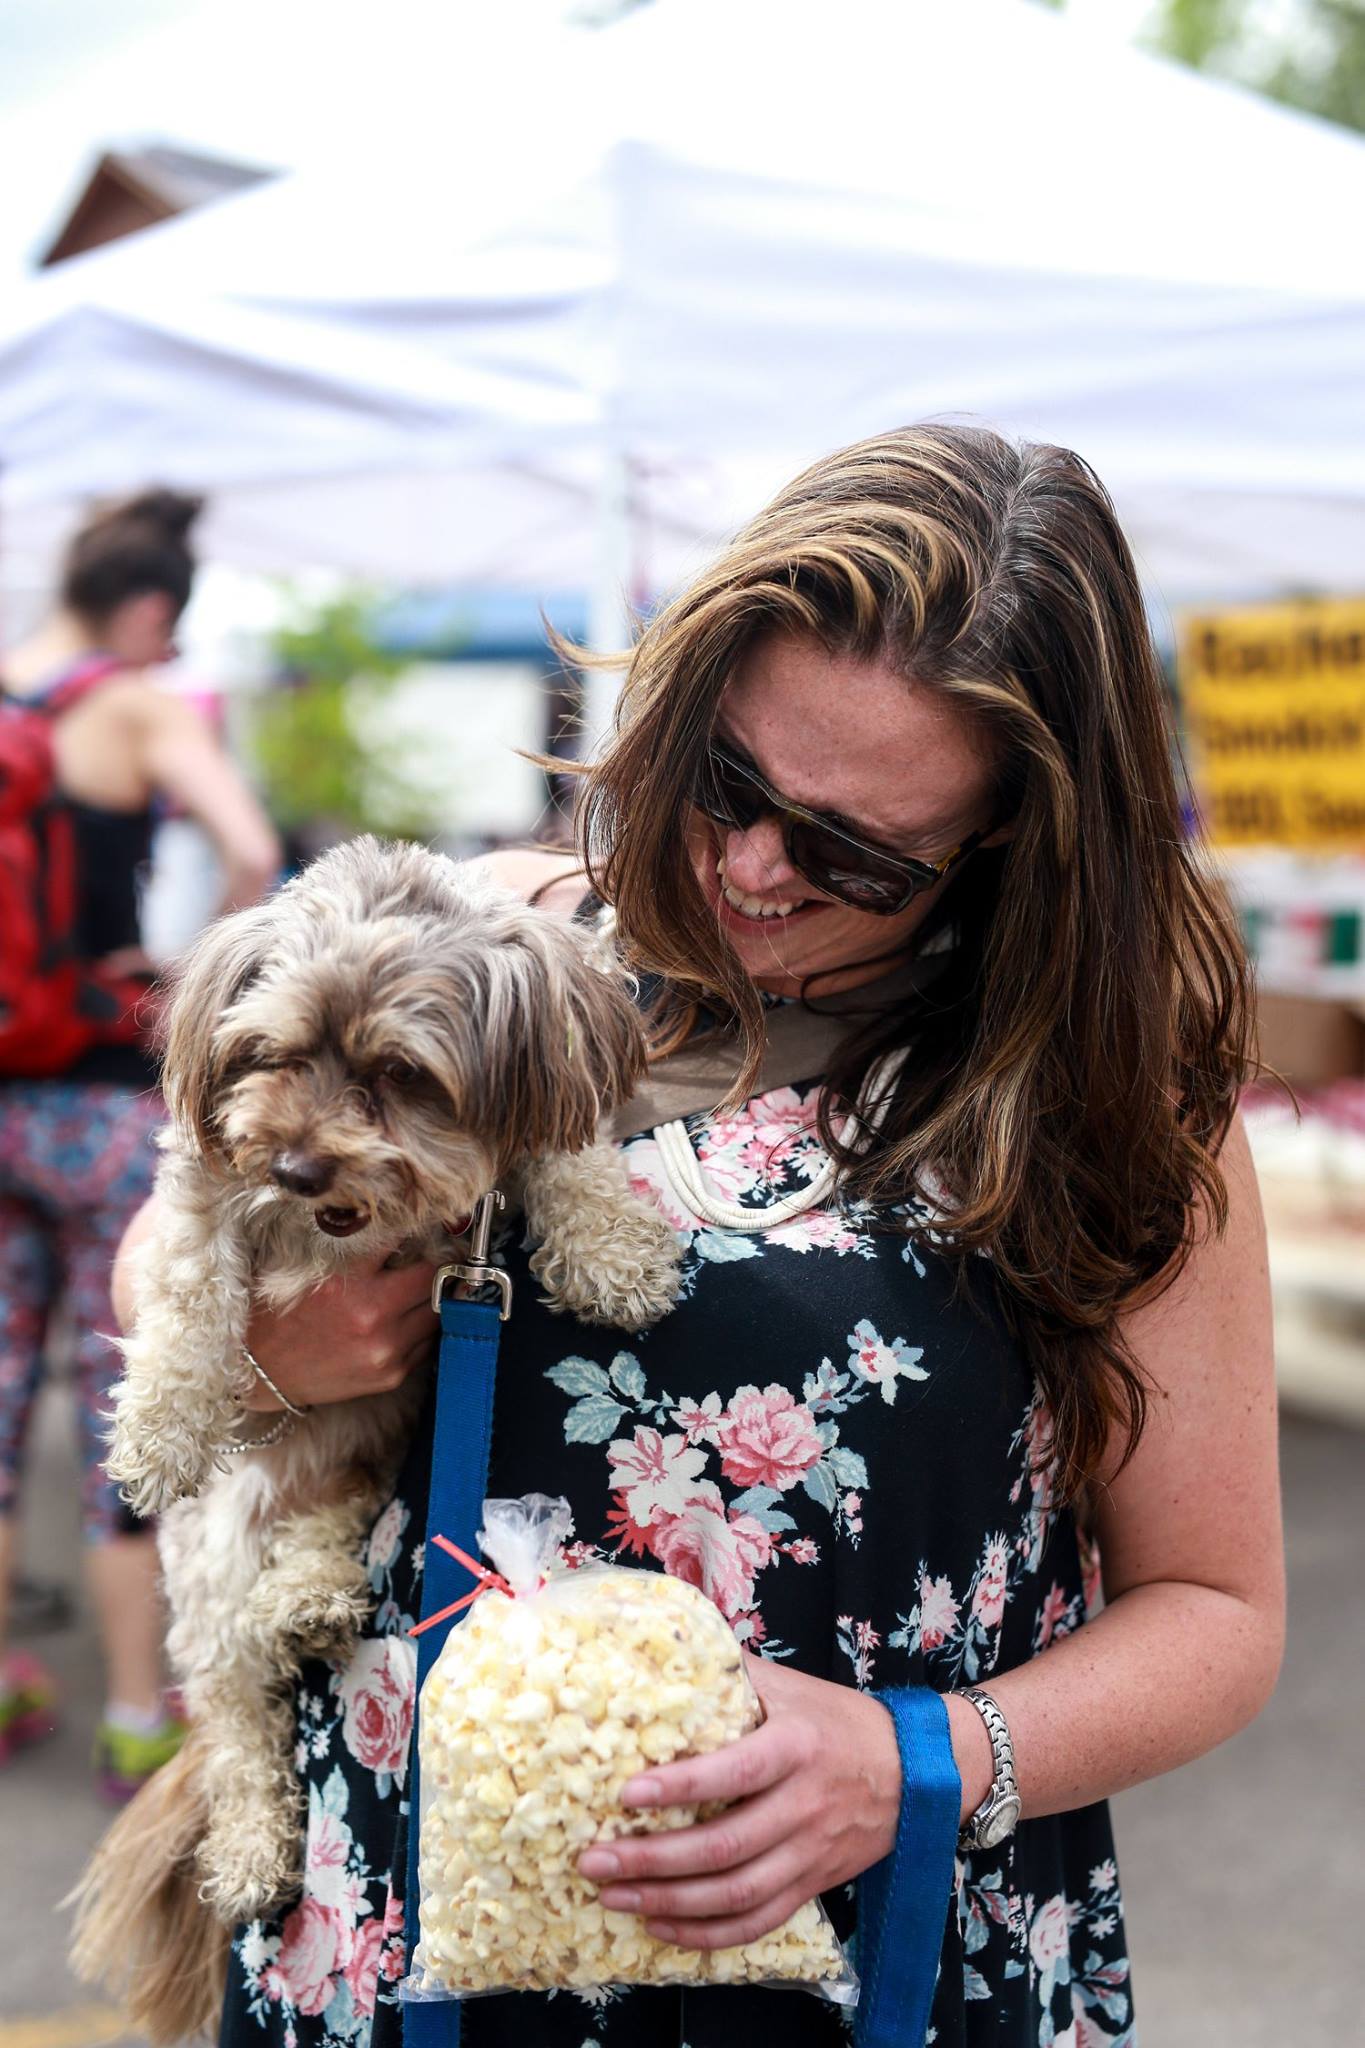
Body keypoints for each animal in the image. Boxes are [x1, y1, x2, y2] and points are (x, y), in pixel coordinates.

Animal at [72, 839, 679, 2039]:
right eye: (274, 1054)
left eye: (401, 1075)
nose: (299, 1166)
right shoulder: (205, 1177)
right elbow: (188, 1290)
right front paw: (161, 1424)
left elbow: (570, 1157)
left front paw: (613, 1249)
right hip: (212, 1561)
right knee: (234, 1717)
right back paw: (251, 1845)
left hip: (373, 1444)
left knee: (326, 1524)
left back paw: (310, 1598)